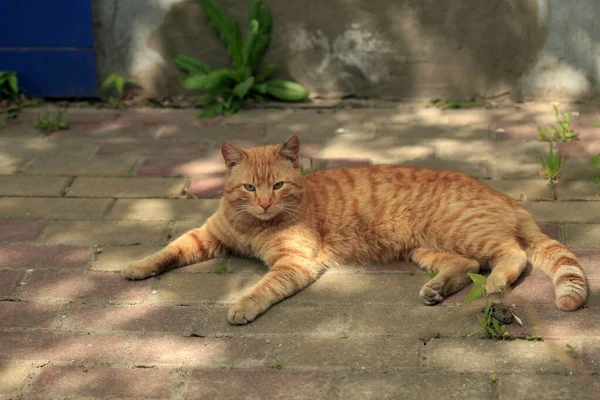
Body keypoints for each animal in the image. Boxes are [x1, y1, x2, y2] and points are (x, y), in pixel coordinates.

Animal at [122, 136, 584, 324]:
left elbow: (262, 288)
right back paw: (435, 290)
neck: (254, 224)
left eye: (278, 185)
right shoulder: (206, 236)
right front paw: (137, 266)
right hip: (426, 249)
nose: (266, 202)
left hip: (464, 233)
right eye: (250, 188)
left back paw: (496, 283)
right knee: (469, 264)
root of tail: (505, 196)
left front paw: (242, 306)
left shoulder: (294, 263)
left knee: (513, 254)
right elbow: (168, 250)